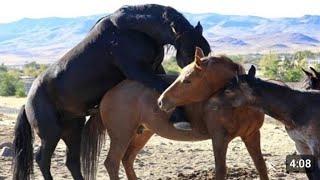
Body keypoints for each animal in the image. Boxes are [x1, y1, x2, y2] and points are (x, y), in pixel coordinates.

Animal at [12, 3, 211, 180]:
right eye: (190, 52)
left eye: (207, 51)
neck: (135, 30)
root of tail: (27, 102)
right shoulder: (138, 70)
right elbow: (161, 86)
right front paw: (180, 118)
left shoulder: (155, 68)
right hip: (51, 134)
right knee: (43, 160)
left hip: (73, 131)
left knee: (72, 162)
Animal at [81, 47, 266, 180]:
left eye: (187, 80)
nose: (161, 101)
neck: (237, 105)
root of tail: (109, 93)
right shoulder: (219, 139)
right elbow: (221, 171)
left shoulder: (252, 135)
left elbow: (261, 166)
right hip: (122, 136)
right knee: (112, 163)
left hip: (142, 133)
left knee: (127, 160)